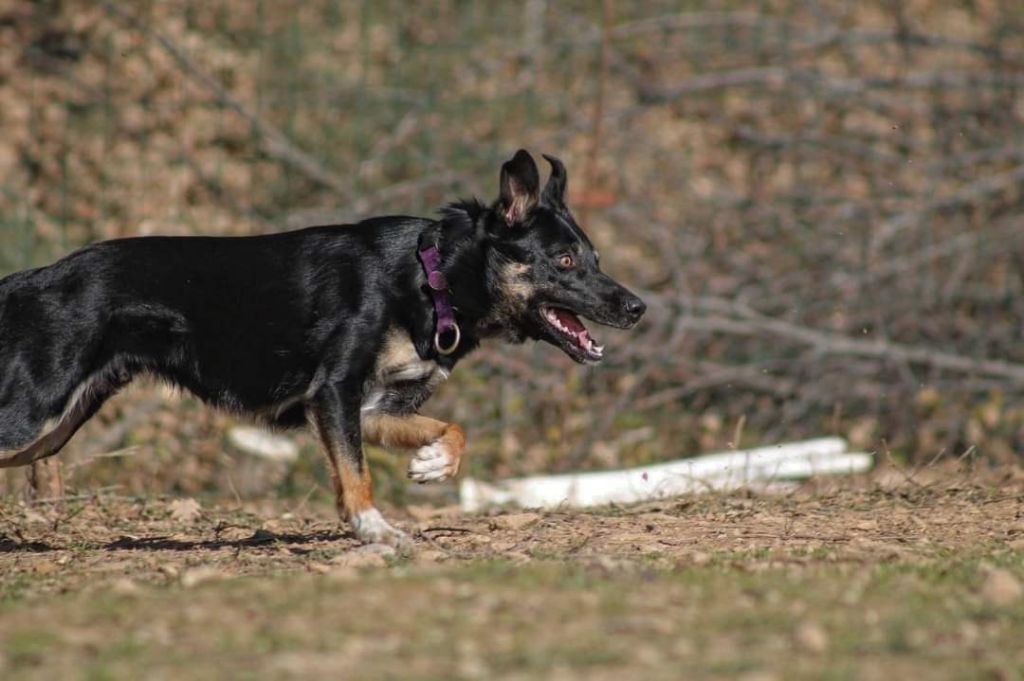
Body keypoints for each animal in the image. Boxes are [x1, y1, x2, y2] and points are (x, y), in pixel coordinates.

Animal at [0, 148, 643, 548]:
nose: (637, 307)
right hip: (34, 414)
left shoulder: (368, 409)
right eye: (565, 261)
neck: (428, 277)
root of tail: (32, 280)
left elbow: (450, 430)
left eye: (595, 259)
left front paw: (433, 463)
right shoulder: (333, 393)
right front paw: (375, 531)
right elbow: (357, 478)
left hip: (55, 428)